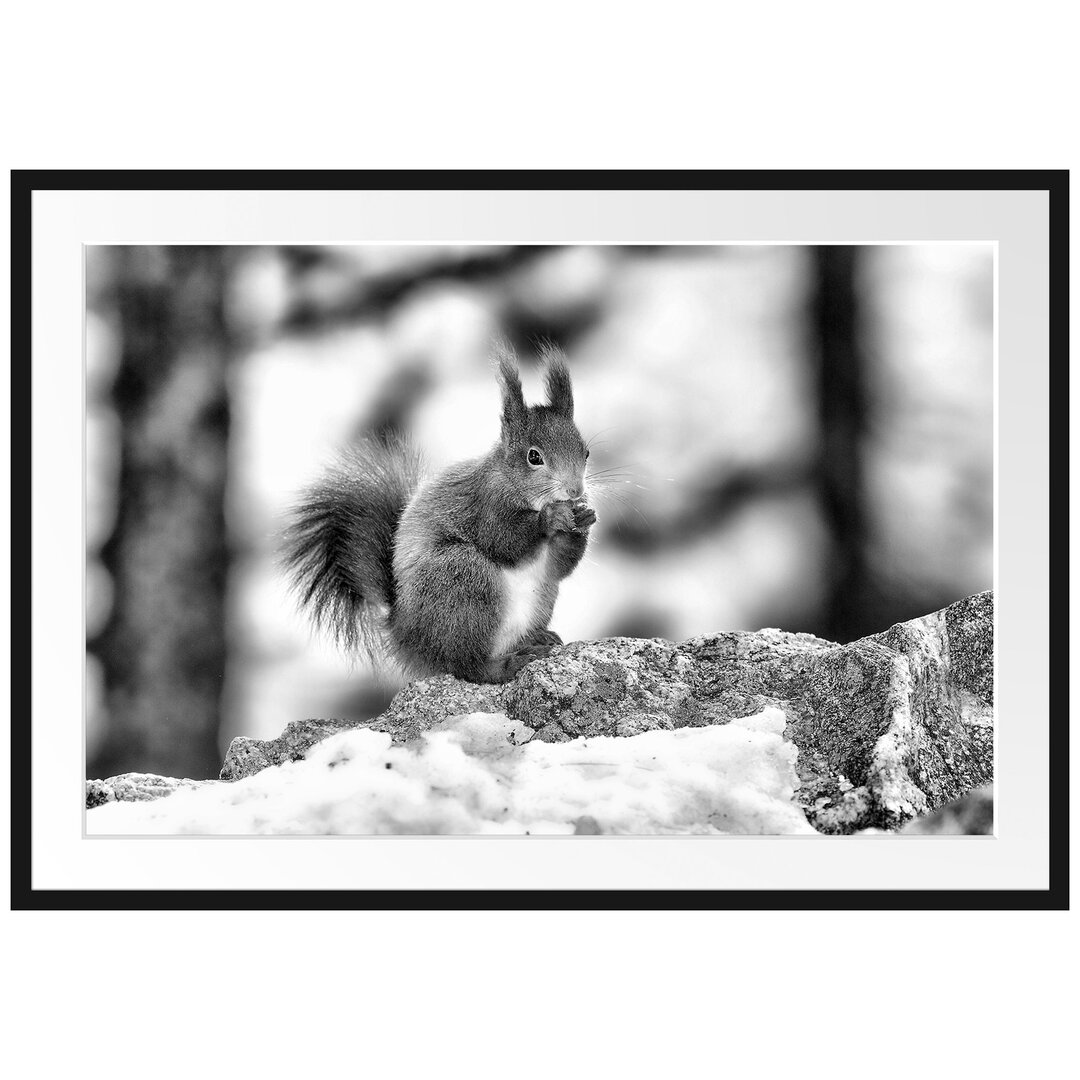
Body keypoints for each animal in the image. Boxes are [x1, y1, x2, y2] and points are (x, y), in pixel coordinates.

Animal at [282, 345, 596, 682]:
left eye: (586, 452)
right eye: (534, 457)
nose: (576, 491)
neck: (515, 485)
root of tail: (406, 637)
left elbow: (559, 566)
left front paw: (584, 520)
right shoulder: (484, 505)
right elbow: (504, 541)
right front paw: (551, 518)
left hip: (540, 596)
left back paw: (537, 638)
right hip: (462, 581)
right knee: (466, 664)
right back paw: (506, 664)